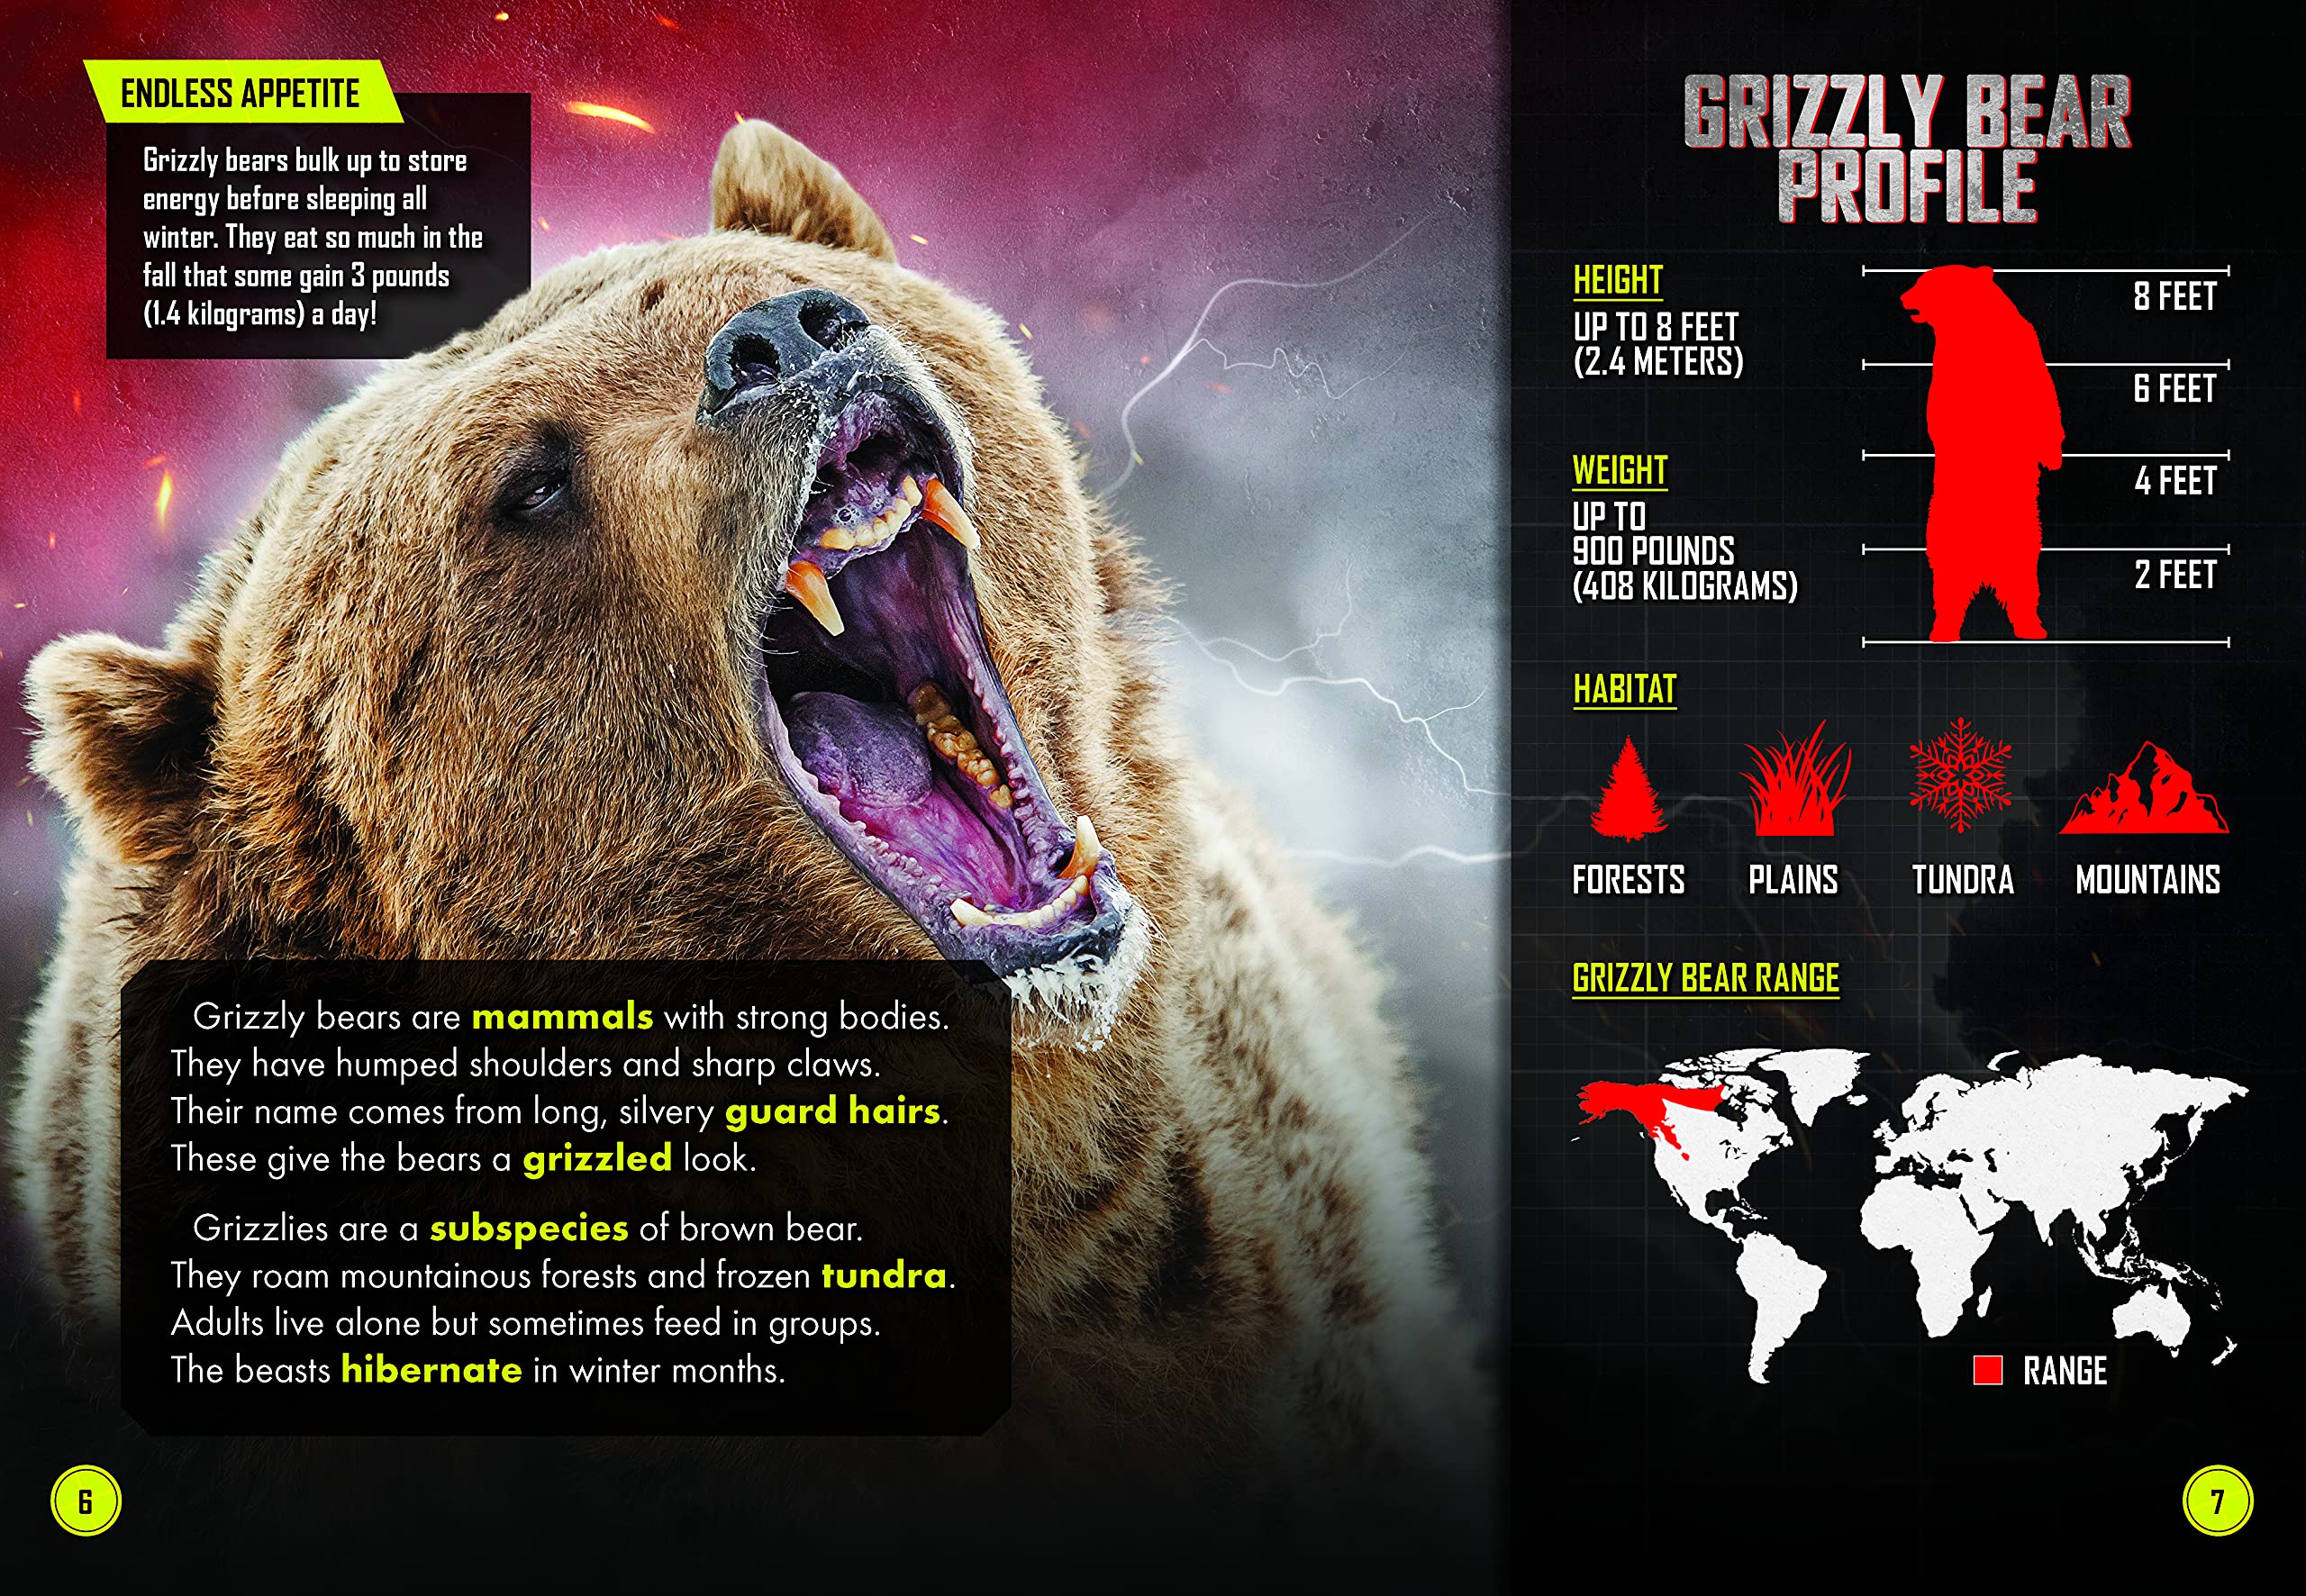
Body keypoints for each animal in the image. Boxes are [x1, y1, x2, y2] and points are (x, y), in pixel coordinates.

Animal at [1901, 264, 2064, 640]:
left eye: (1925, 282)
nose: (1903, 296)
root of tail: (1985, 569)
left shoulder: (2021, 346)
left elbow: (2041, 396)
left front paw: (2053, 457)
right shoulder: (1951, 366)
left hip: (2024, 545)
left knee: (2025, 586)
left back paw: (2033, 627)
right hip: (1945, 541)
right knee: (1946, 589)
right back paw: (1943, 630)